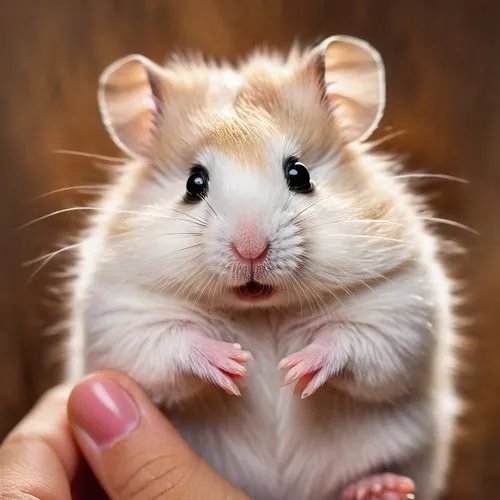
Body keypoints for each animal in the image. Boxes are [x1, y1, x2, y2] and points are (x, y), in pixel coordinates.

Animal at [64, 36, 458, 500]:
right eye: (194, 183)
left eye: (299, 174)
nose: (250, 249)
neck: (262, 309)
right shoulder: (123, 315)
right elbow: (170, 343)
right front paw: (234, 364)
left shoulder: (399, 304)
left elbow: (353, 340)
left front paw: (296, 368)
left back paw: (378, 487)